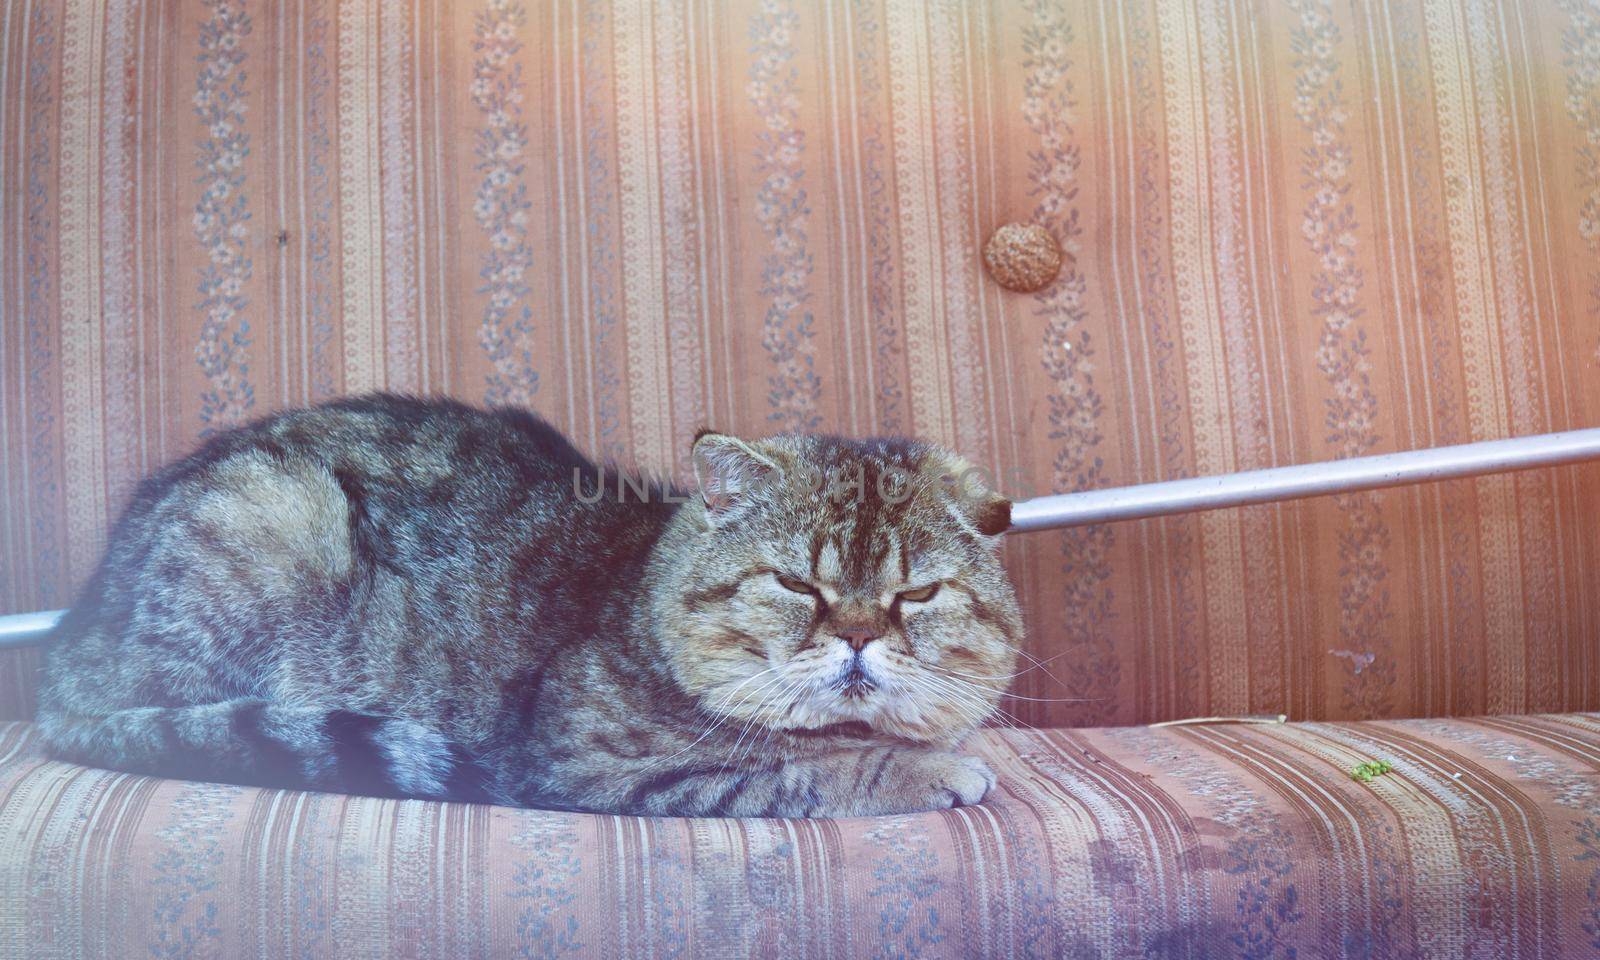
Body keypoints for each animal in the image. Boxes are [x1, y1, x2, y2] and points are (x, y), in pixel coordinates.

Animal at [37, 393, 1024, 812]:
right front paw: (928, 769)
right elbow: (808, 766)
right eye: (795, 584)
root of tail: (68, 645)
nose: (857, 639)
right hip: (267, 524)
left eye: (916, 593)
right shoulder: (590, 764)